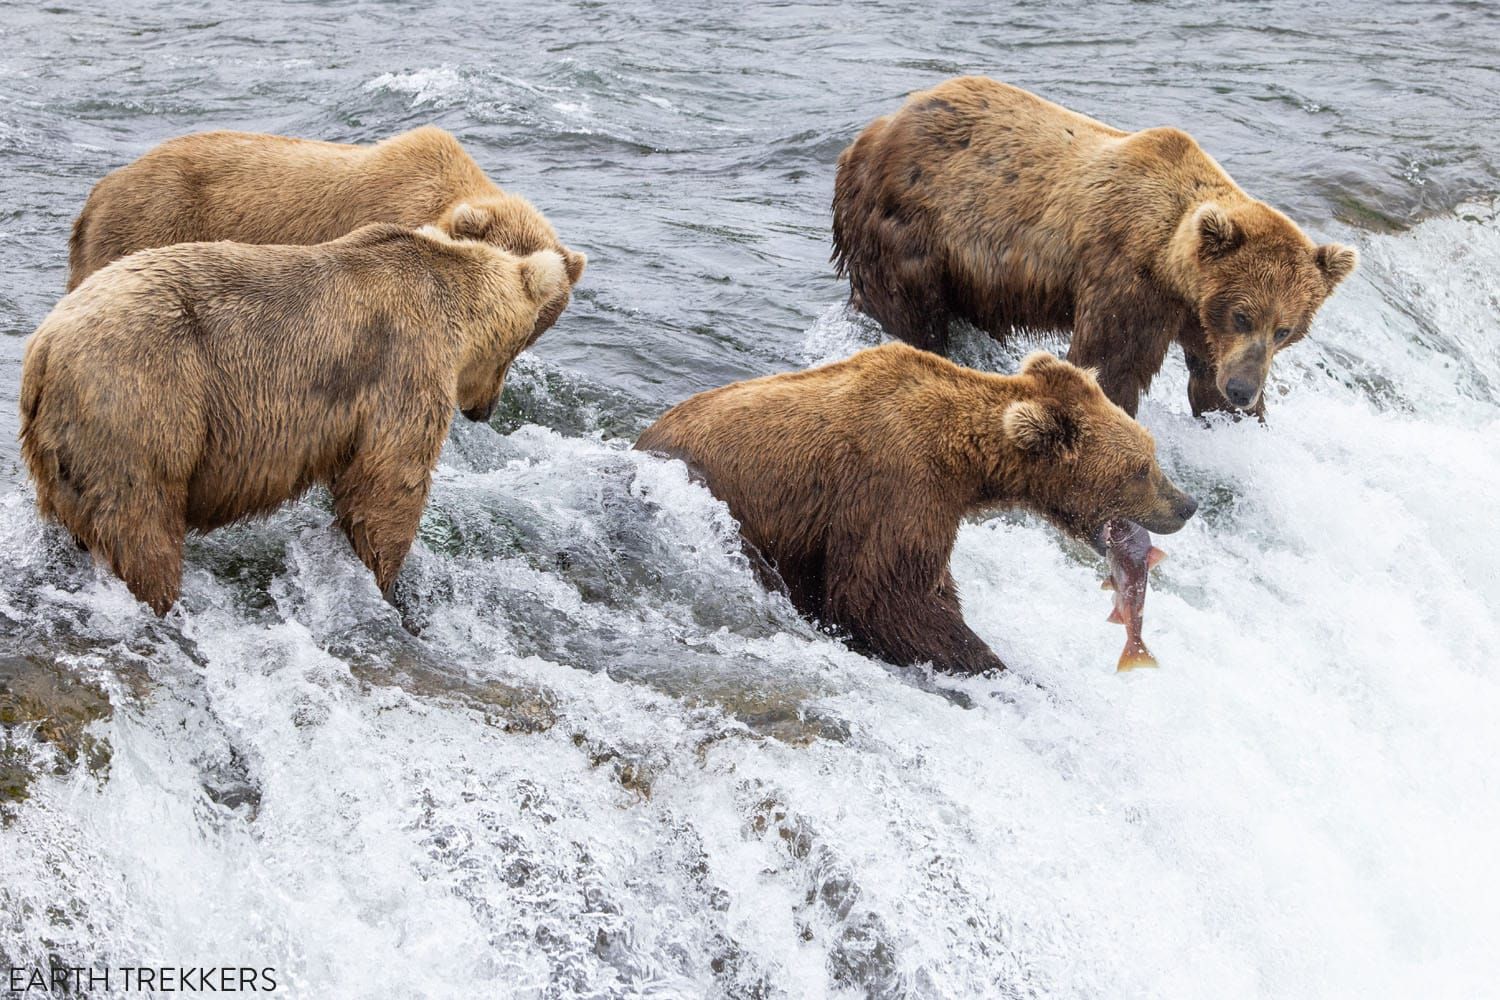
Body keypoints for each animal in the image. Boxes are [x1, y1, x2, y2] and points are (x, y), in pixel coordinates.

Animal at [17, 224, 567, 617]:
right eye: (520, 345)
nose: (484, 410)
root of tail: (42, 347)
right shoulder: (404, 364)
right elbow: (388, 484)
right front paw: (389, 583)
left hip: (63, 450)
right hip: (142, 403)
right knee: (142, 526)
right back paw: (162, 598)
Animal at [834, 78, 1362, 419]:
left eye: (1284, 329)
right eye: (1243, 315)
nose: (1242, 390)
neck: (1172, 266)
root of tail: (875, 130)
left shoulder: (1197, 318)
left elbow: (1203, 372)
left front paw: (1232, 412)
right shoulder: (1128, 280)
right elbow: (1110, 364)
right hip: (911, 227)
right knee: (908, 311)